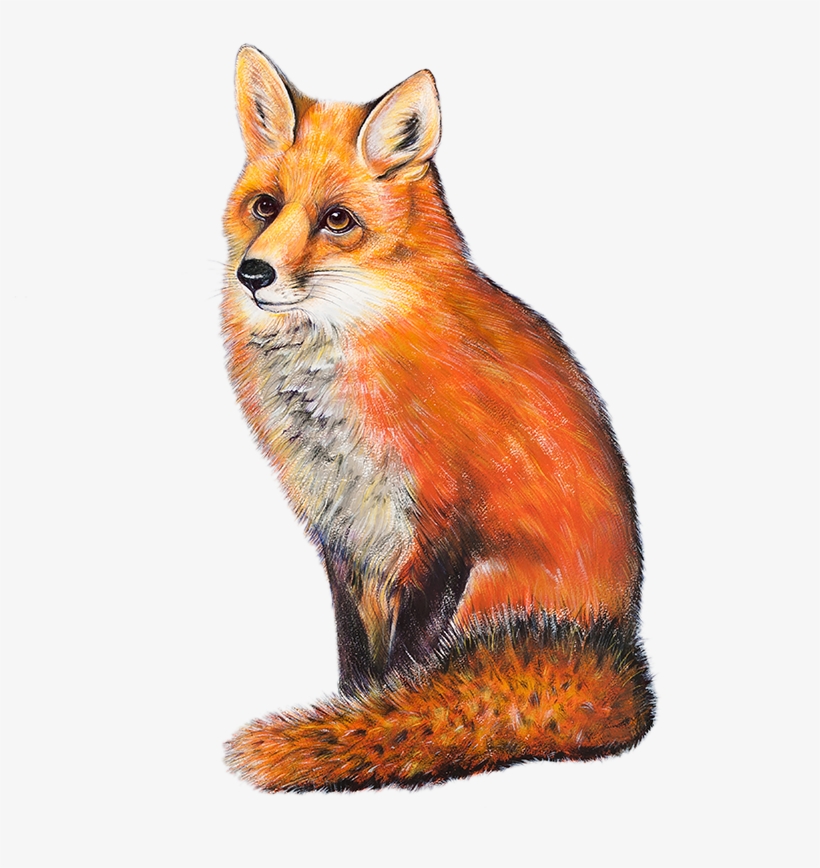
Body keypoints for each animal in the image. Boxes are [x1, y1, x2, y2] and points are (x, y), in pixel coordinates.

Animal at [221, 45, 655, 791]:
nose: (254, 273)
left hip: (492, 587)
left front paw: (375, 727)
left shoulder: (441, 527)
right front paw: (351, 714)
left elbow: (406, 668)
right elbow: (357, 659)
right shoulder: (341, 533)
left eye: (337, 220)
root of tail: (616, 658)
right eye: (265, 206)